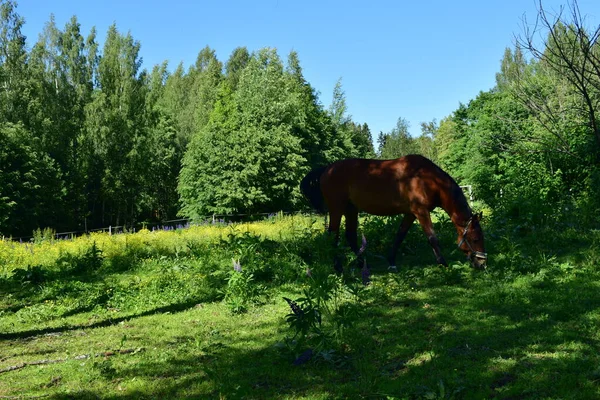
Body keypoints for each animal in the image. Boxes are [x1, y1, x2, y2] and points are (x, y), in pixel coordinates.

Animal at [300, 153, 488, 272]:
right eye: (475, 239)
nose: (482, 263)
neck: (426, 178)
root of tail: (327, 169)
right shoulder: (421, 212)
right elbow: (432, 238)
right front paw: (443, 263)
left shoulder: (411, 213)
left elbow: (399, 236)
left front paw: (391, 262)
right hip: (337, 208)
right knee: (333, 236)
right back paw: (338, 268)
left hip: (351, 209)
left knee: (350, 236)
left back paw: (362, 264)